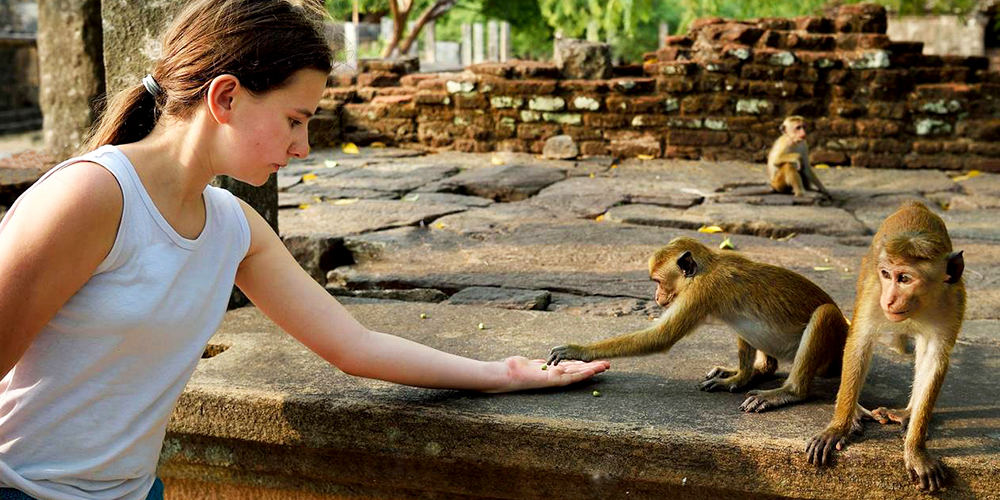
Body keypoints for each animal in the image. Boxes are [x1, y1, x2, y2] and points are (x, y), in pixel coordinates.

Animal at [547, 236, 849, 413]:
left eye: (658, 281)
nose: (656, 297)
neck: (708, 267)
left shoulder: (700, 292)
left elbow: (661, 337)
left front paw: (578, 350)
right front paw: (738, 377)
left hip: (834, 347)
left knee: (824, 315)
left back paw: (788, 392)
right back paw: (752, 373)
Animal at [805, 202, 965, 493]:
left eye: (905, 278)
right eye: (887, 275)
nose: (889, 299)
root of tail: (914, 205)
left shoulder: (954, 301)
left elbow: (934, 358)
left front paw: (915, 449)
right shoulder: (872, 292)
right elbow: (859, 344)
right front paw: (838, 426)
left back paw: (909, 413)